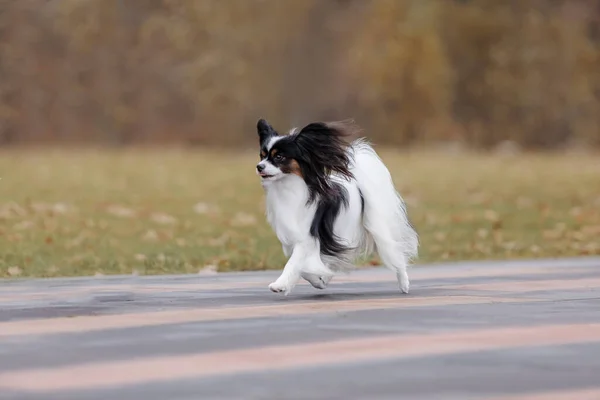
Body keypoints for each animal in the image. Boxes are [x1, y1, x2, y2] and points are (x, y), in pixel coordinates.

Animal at [255, 117, 420, 296]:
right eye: (262, 156)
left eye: (279, 156)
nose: (259, 166)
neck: (288, 186)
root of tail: (358, 183)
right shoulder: (295, 239)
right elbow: (306, 267)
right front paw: (318, 279)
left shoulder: (307, 237)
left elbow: (294, 263)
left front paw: (280, 284)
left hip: (376, 228)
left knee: (395, 253)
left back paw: (404, 284)